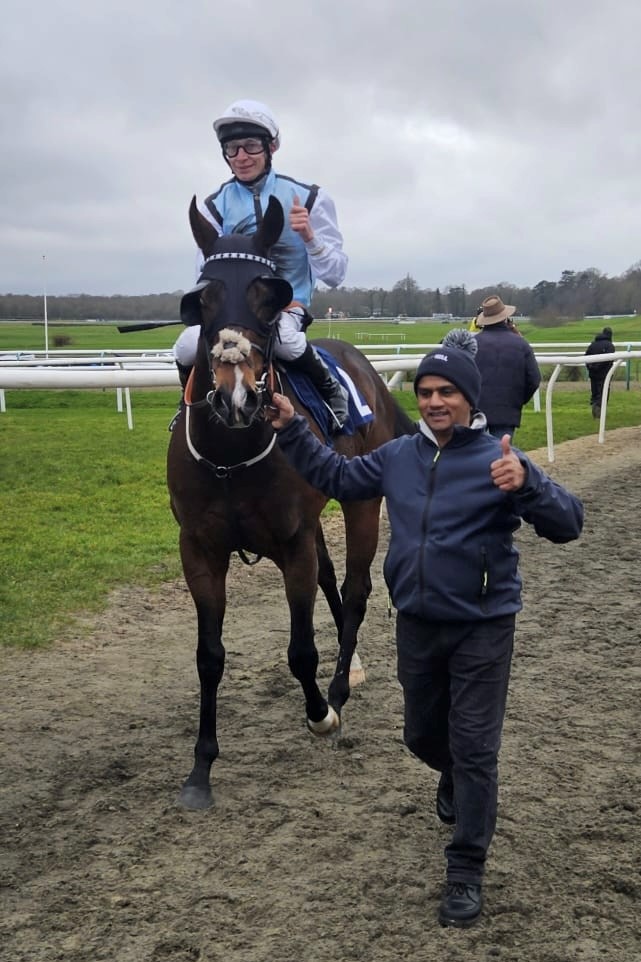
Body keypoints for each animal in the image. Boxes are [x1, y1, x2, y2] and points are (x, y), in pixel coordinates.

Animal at [166, 197, 416, 808]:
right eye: (202, 297)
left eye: (268, 295)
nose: (235, 395)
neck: (231, 457)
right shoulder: (199, 551)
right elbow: (209, 657)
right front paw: (201, 768)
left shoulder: (292, 542)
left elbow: (301, 648)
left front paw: (321, 712)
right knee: (333, 581)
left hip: (361, 501)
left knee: (355, 588)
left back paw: (341, 685)